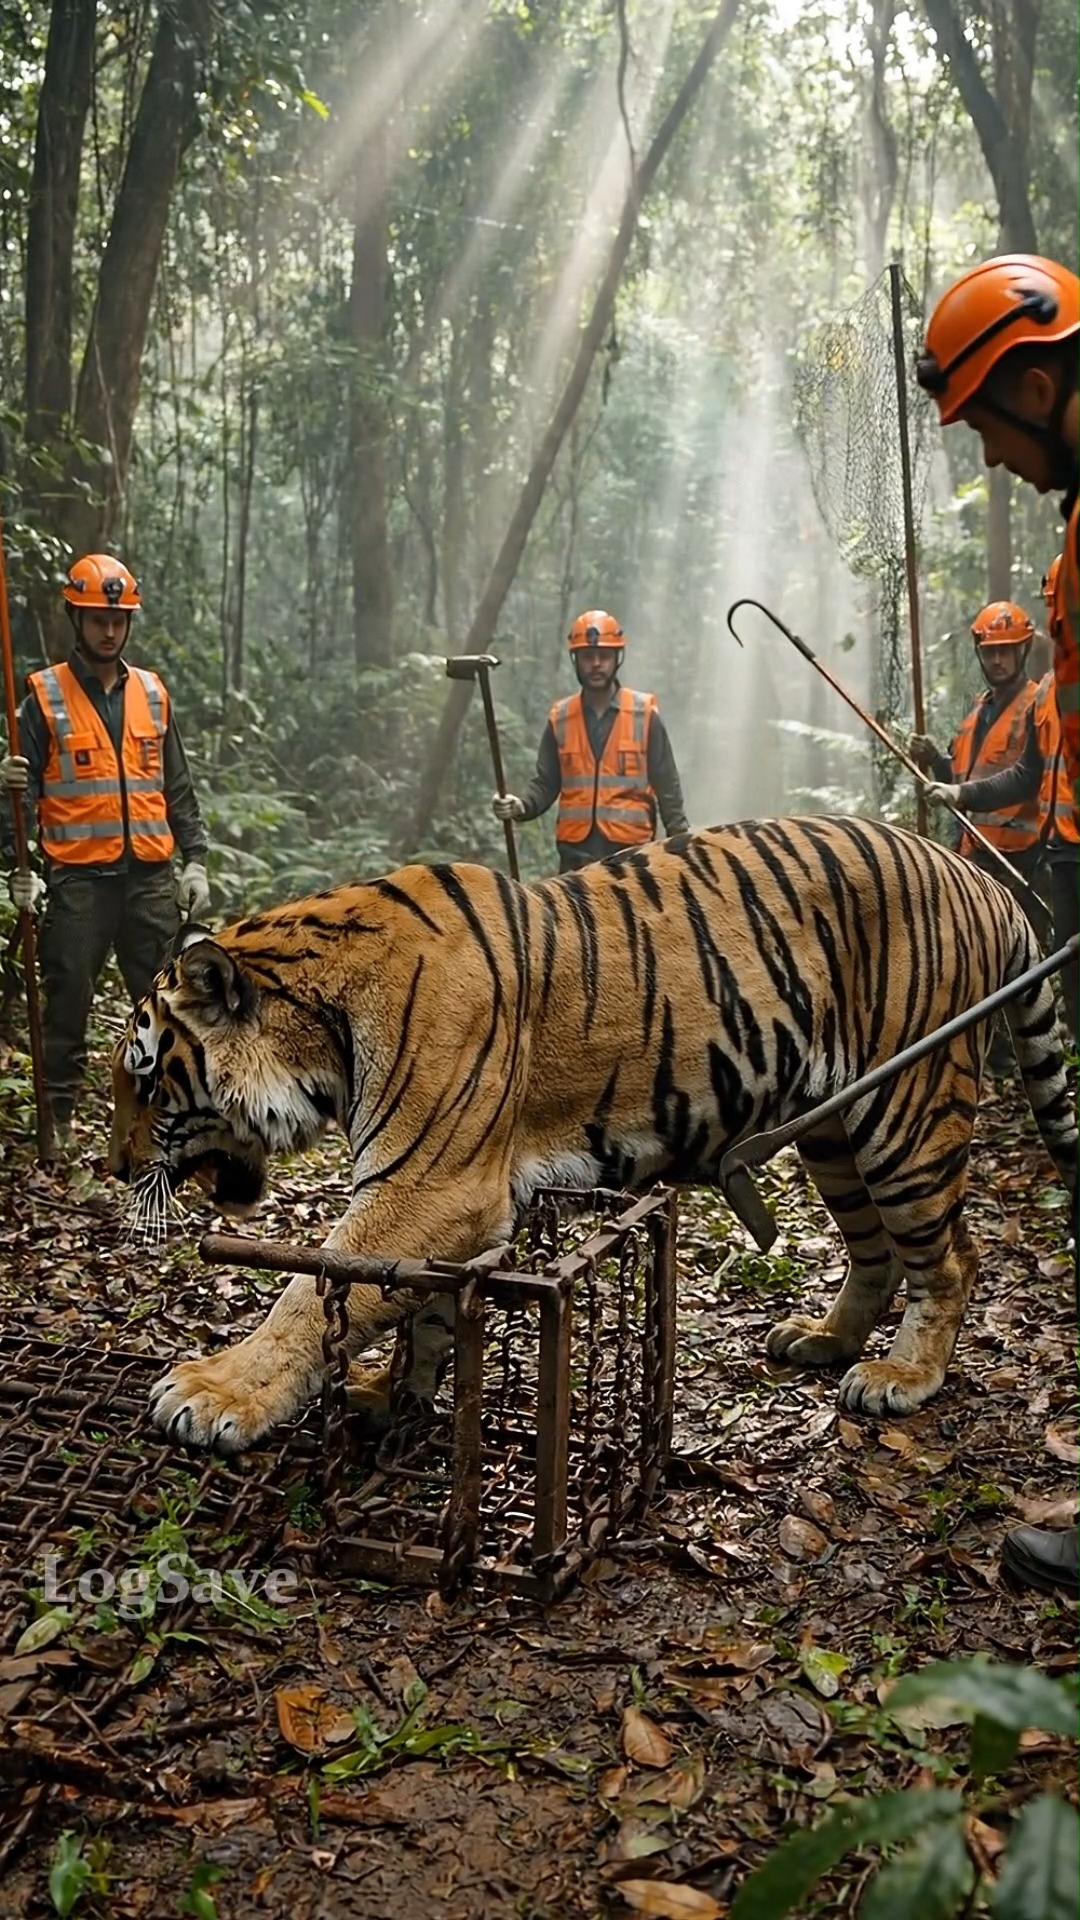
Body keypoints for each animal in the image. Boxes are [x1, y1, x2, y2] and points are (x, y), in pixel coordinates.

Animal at [108, 816, 1077, 1457]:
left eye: (146, 1078)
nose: (113, 1169)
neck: (322, 1027)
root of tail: (988, 883)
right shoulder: (446, 1202)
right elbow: (420, 1305)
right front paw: (394, 1396)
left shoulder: (432, 1186)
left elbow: (312, 1293)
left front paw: (216, 1392)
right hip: (837, 1132)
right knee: (876, 1253)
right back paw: (825, 1341)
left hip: (908, 1115)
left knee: (952, 1259)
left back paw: (901, 1379)